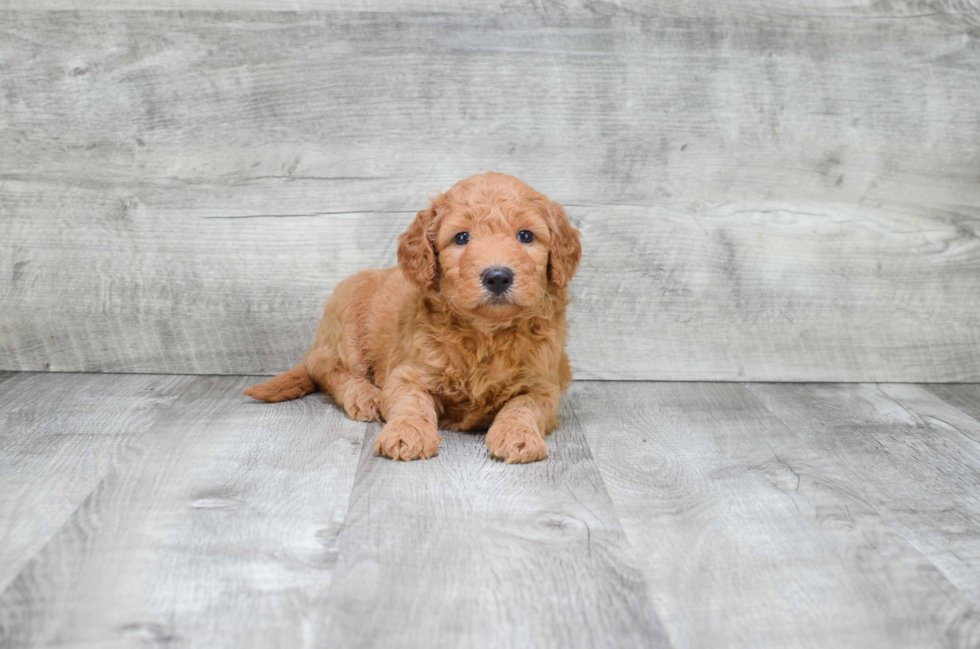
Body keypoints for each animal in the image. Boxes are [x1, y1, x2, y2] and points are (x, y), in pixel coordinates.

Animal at [245, 173, 580, 460]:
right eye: (462, 238)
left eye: (525, 235)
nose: (497, 277)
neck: (485, 334)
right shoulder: (408, 371)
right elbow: (411, 402)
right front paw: (407, 434)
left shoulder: (543, 383)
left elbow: (524, 405)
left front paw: (517, 435)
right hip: (347, 323)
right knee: (327, 367)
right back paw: (365, 396)